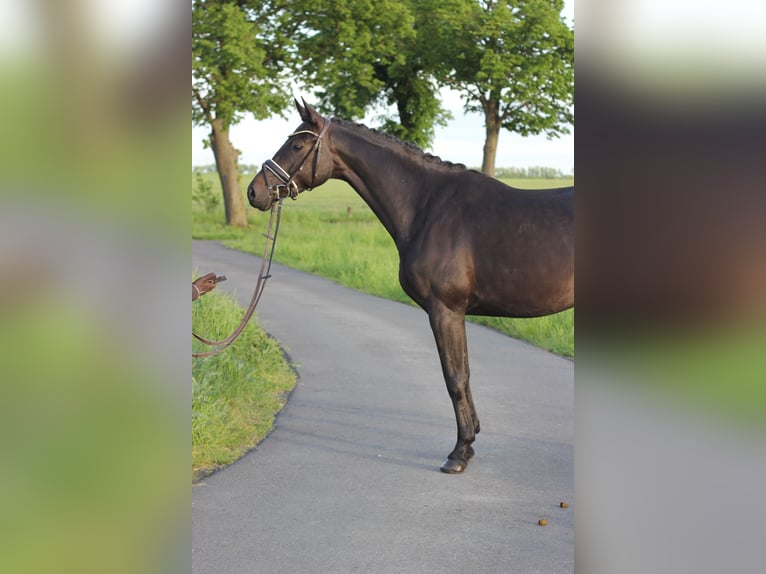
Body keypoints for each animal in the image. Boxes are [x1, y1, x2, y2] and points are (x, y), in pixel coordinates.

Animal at [249, 100, 572, 476]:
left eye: (297, 145)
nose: (254, 192)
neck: (428, 206)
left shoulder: (444, 310)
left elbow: (454, 378)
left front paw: (458, 453)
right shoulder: (455, 313)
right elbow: (465, 374)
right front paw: (470, 442)